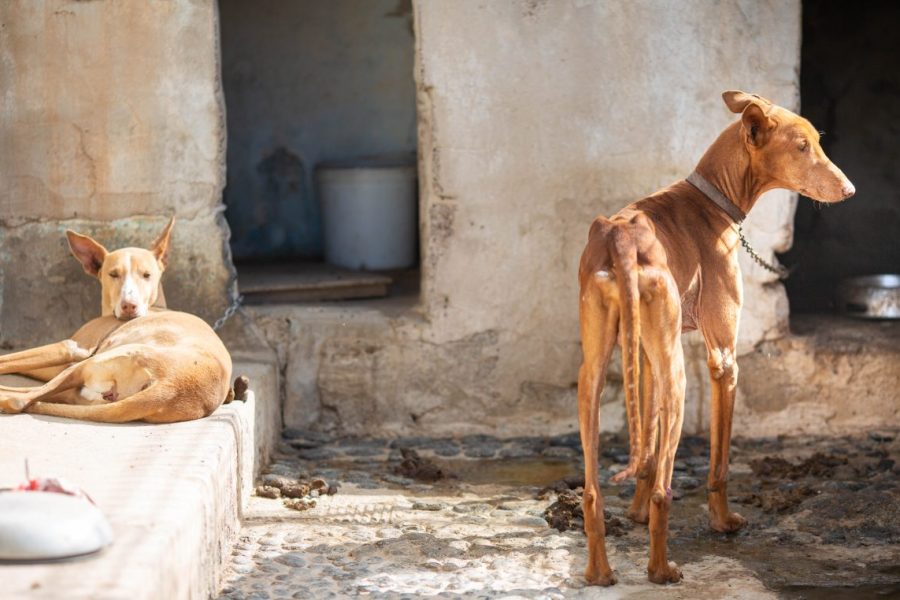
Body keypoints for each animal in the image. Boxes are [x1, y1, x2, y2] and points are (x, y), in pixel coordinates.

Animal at [580, 91, 856, 584]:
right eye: (802, 146)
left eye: (817, 141)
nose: (850, 190)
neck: (711, 199)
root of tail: (621, 238)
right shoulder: (724, 359)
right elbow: (719, 463)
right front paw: (722, 521)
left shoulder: (647, 358)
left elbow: (647, 449)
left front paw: (634, 514)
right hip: (680, 379)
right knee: (666, 491)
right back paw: (660, 569)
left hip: (595, 376)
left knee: (593, 490)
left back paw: (599, 571)